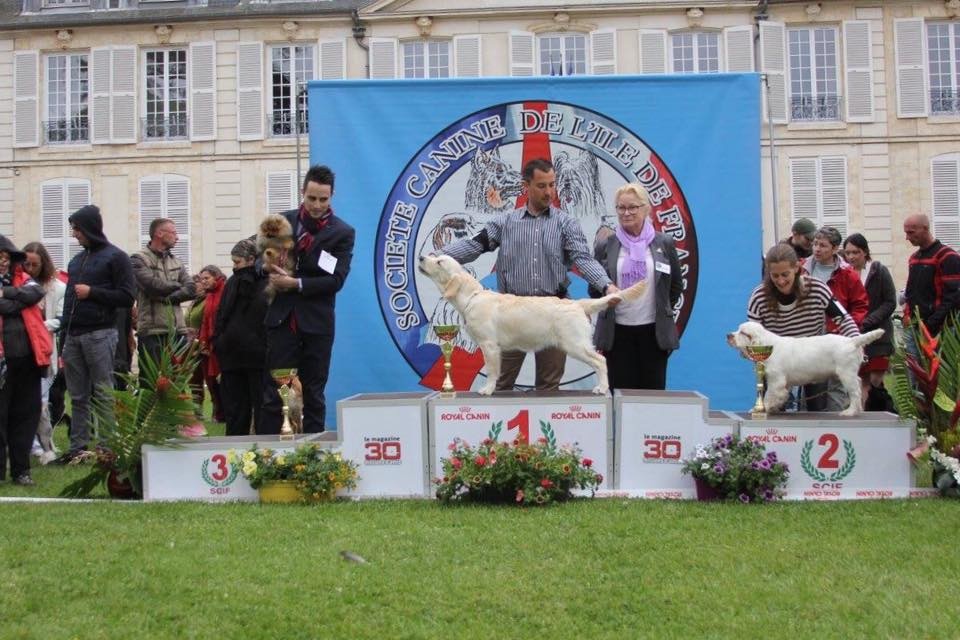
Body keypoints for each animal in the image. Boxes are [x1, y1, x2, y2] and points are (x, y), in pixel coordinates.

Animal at [418, 254, 644, 396]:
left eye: (439, 261)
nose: (420, 258)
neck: (471, 297)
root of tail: (578, 304)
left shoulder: (489, 345)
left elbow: (491, 371)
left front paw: (487, 390)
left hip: (575, 344)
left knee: (600, 361)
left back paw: (601, 388)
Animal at [728, 322, 884, 418]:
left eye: (743, 333)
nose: (728, 335)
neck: (768, 344)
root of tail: (851, 341)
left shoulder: (776, 380)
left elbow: (768, 395)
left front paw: (762, 408)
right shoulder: (784, 384)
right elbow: (780, 396)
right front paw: (774, 408)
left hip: (846, 374)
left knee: (855, 392)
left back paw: (850, 412)